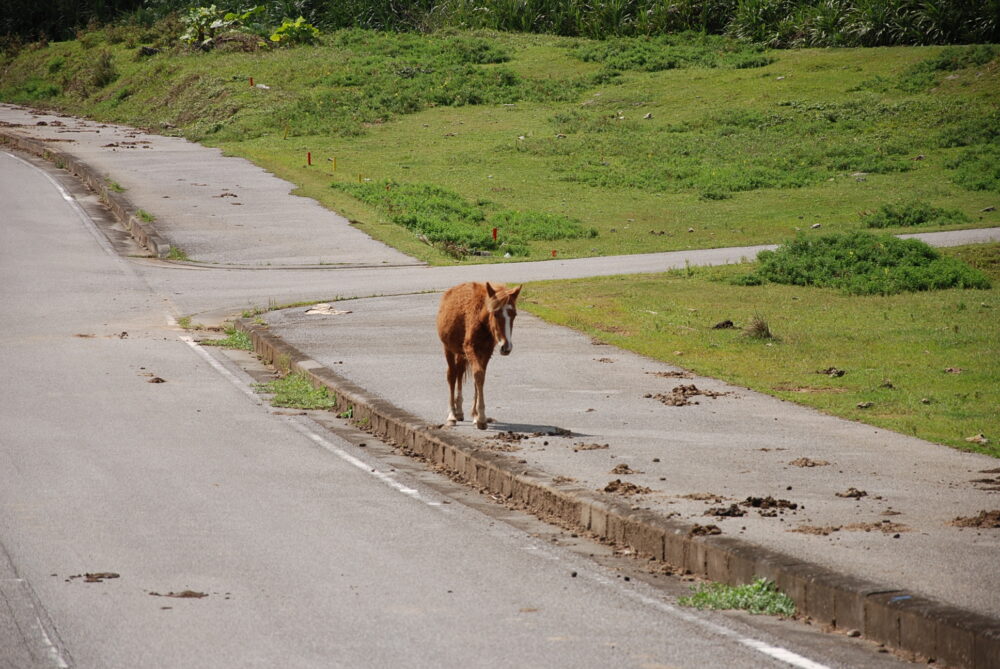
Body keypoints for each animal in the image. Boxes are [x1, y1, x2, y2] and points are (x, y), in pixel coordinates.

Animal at [438, 280, 524, 428]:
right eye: (495, 314)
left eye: (514, 314)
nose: (506, 347)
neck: (481, 320)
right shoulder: (471, 349)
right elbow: (477, 375)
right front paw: (481, 418)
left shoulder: (486, 352)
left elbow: (479, 377)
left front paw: (476, 415)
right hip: (448, 349)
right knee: (452, 376)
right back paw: (452, 415)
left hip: (461, 353)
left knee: (459, 373)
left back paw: (459, 411)